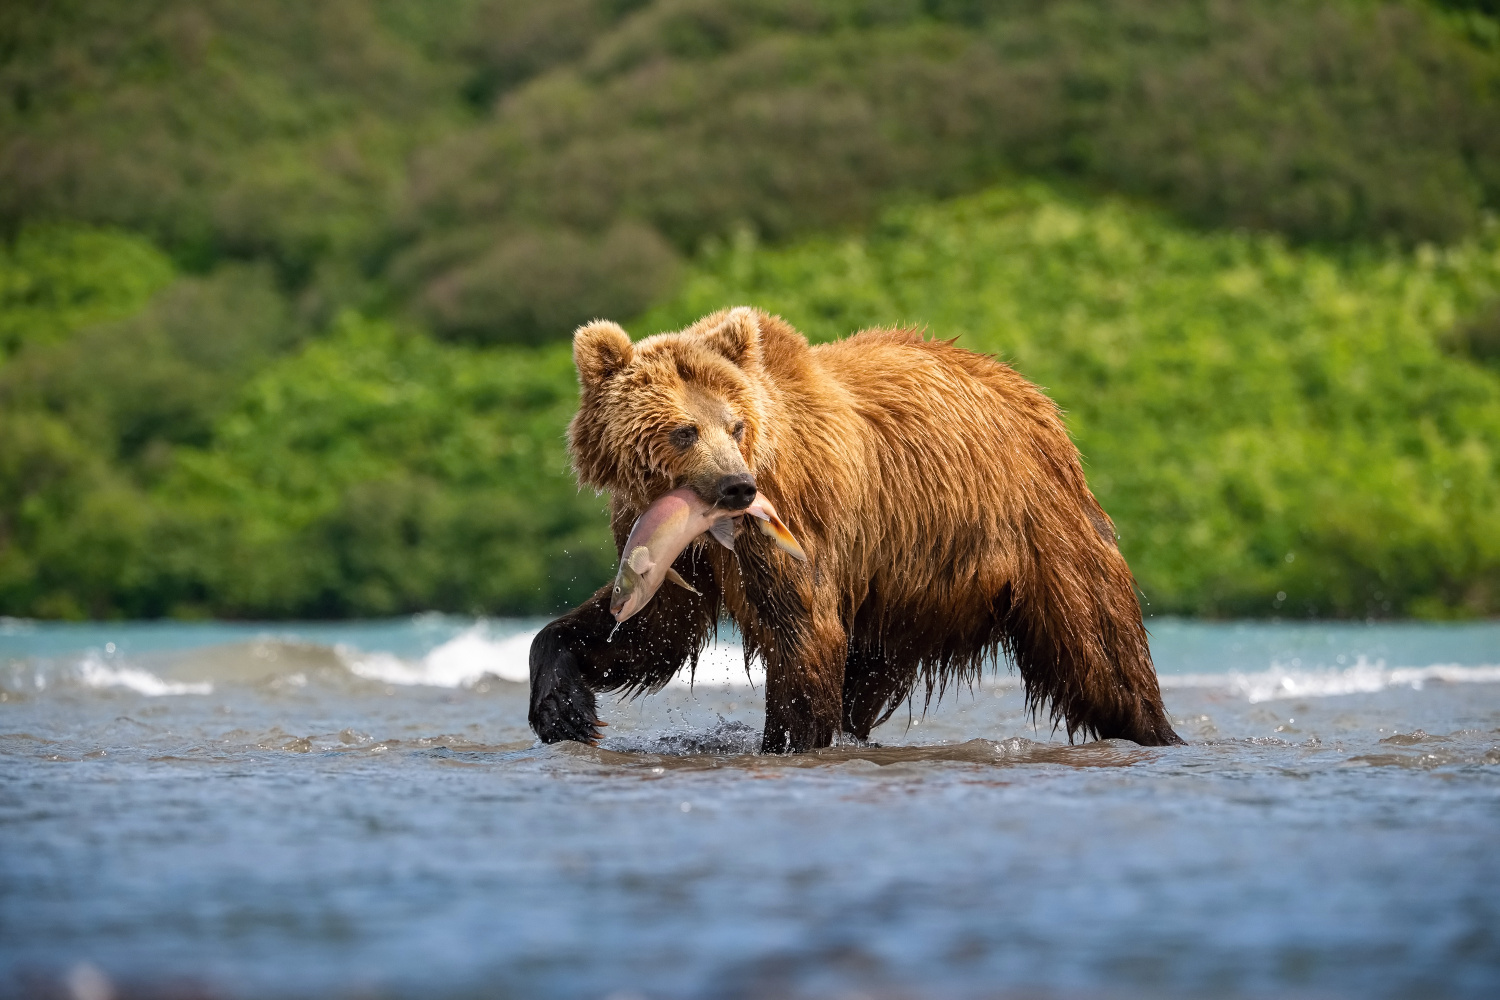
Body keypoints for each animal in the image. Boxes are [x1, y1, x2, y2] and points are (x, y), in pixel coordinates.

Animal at [528, 305, 1182, 749]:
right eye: (684, 430)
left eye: (736, 424)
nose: (739, 487)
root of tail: (1035, 396)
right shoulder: (669, 547)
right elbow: (651, 628)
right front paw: (564, 708)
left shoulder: (797, 523)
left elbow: (802, 634)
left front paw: (787, 741)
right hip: (905, 590)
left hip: (1035, 529)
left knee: (1100, 653)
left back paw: (1156, 729)